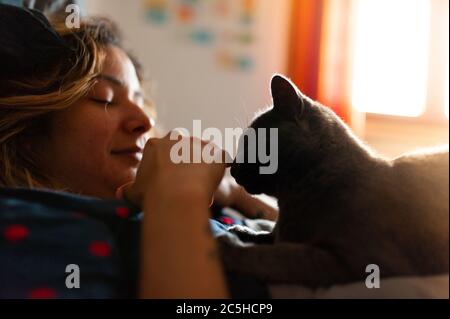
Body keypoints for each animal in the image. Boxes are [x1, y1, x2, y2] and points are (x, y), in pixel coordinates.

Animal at [220, 74, 448, 288]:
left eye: (249, 143)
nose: (232, 168)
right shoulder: (279, 233)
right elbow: (265, 236)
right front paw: (237, 231)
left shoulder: (362, 261)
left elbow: (279, 255)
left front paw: (224, 246)